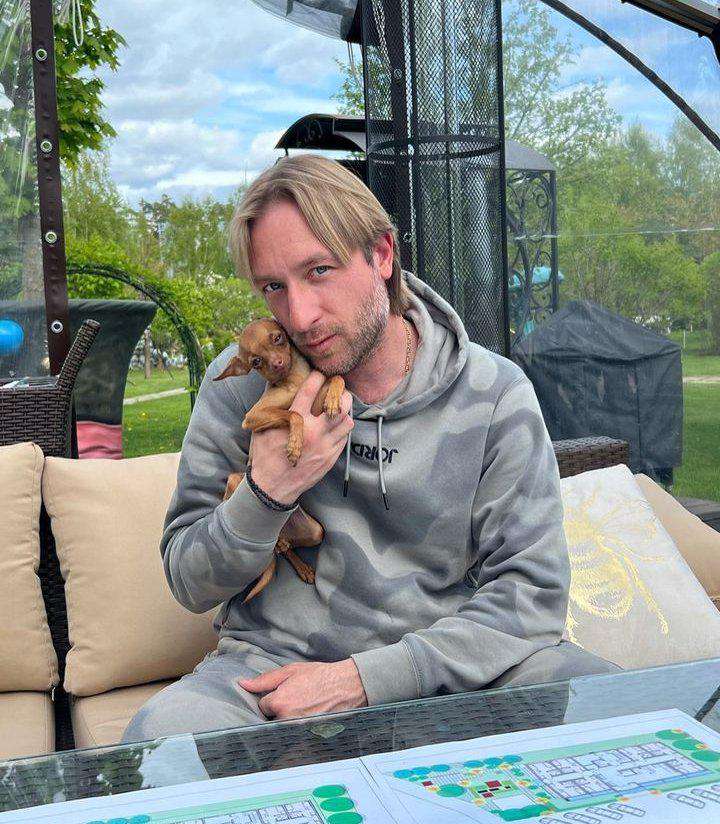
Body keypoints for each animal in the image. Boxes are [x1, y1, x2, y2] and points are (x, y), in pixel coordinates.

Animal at [213, 318, 345, 602]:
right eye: (255, 362)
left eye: (277, 338)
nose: (277, 364)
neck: (295, 380)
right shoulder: (254, 417)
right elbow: (294, 415)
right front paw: (295, 445)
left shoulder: (316, 394)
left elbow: (336, 378)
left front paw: (333, 398)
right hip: (235, 480)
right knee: (272, 547)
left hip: (315, 532)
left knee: (285, 549)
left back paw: (302, 566)